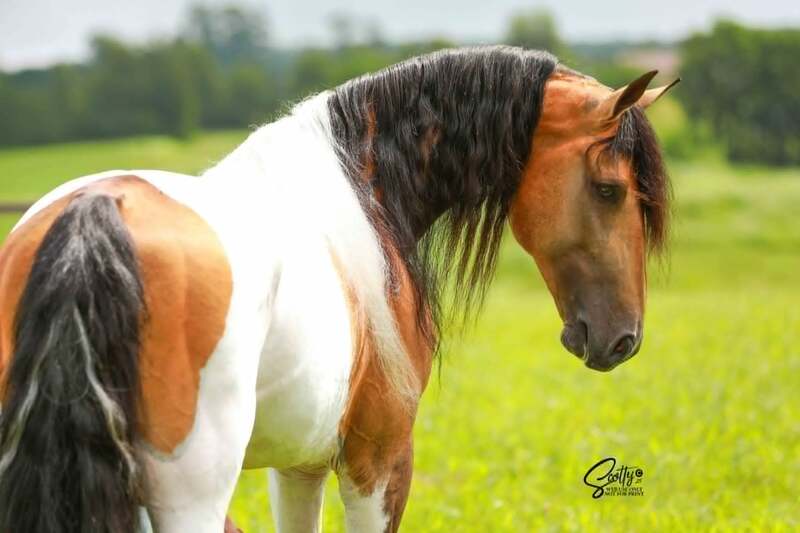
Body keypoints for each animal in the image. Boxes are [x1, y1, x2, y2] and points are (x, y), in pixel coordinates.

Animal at [0, 46, 676, 532]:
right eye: (611, 189)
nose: (623, 338)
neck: (364, 193)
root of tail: (94, 213)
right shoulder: (377, 460)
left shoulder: (297, 465)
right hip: (192, 494)